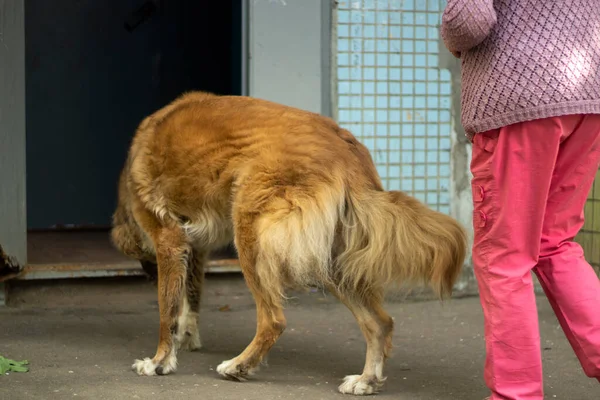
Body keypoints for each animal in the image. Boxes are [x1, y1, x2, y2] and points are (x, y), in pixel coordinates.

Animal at [112, 92, 468, 396]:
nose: (147, 275)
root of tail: (346, 147)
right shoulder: (195, 249)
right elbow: (190, 298)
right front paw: (186, 338)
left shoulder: (169, 242)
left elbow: (166, 311)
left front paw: (159, 362)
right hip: (330, 260)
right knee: (379, 323)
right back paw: (366, 380)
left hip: (251, 235)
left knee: (274, 320)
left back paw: (240, 366)